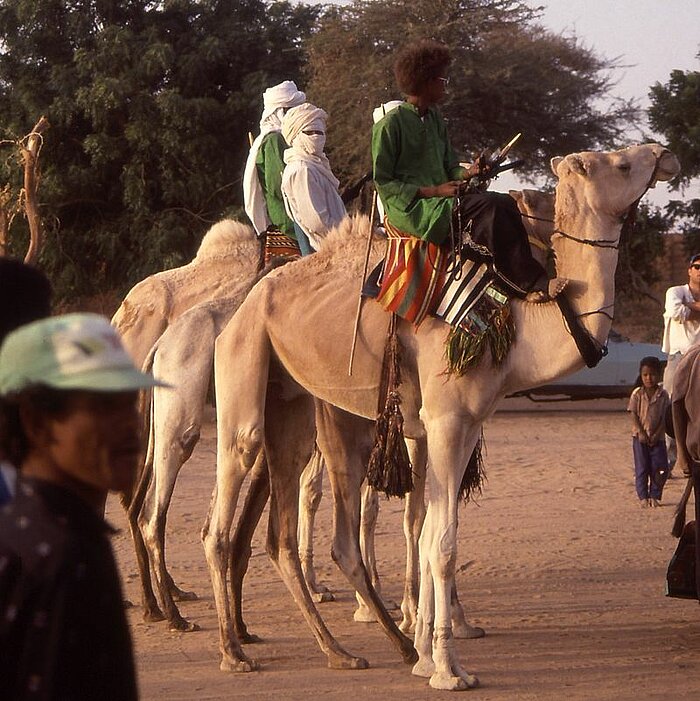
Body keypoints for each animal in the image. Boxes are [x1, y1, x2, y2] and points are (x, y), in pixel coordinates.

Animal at [202, 144, 680, 688]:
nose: (664, 154)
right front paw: (449, 669)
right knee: (230, 496)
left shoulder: (465, 423)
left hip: (302, 407)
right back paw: (235, 650)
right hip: (246, 359)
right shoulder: (446, 421)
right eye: (620, 164)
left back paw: (345, 650)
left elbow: (430, 531)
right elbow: (442, 543)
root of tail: (249, 297)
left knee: (296, 526)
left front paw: (427, 654)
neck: (516, 322)